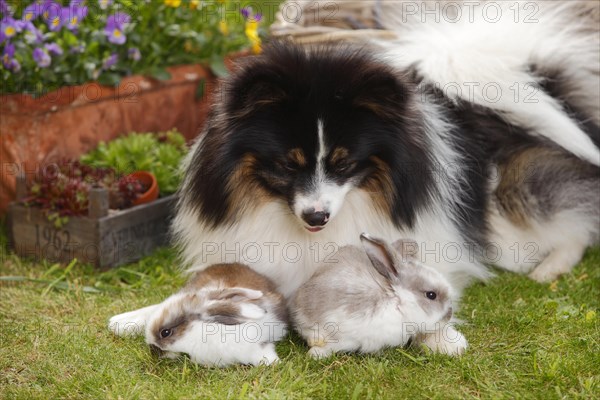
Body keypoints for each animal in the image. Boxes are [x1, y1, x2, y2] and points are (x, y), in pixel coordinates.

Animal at [171, 1, 596, 300]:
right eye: (287, 166)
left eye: (345, 165)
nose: (316, 216)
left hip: (513, 203)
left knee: (577, 223)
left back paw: (549, 268)